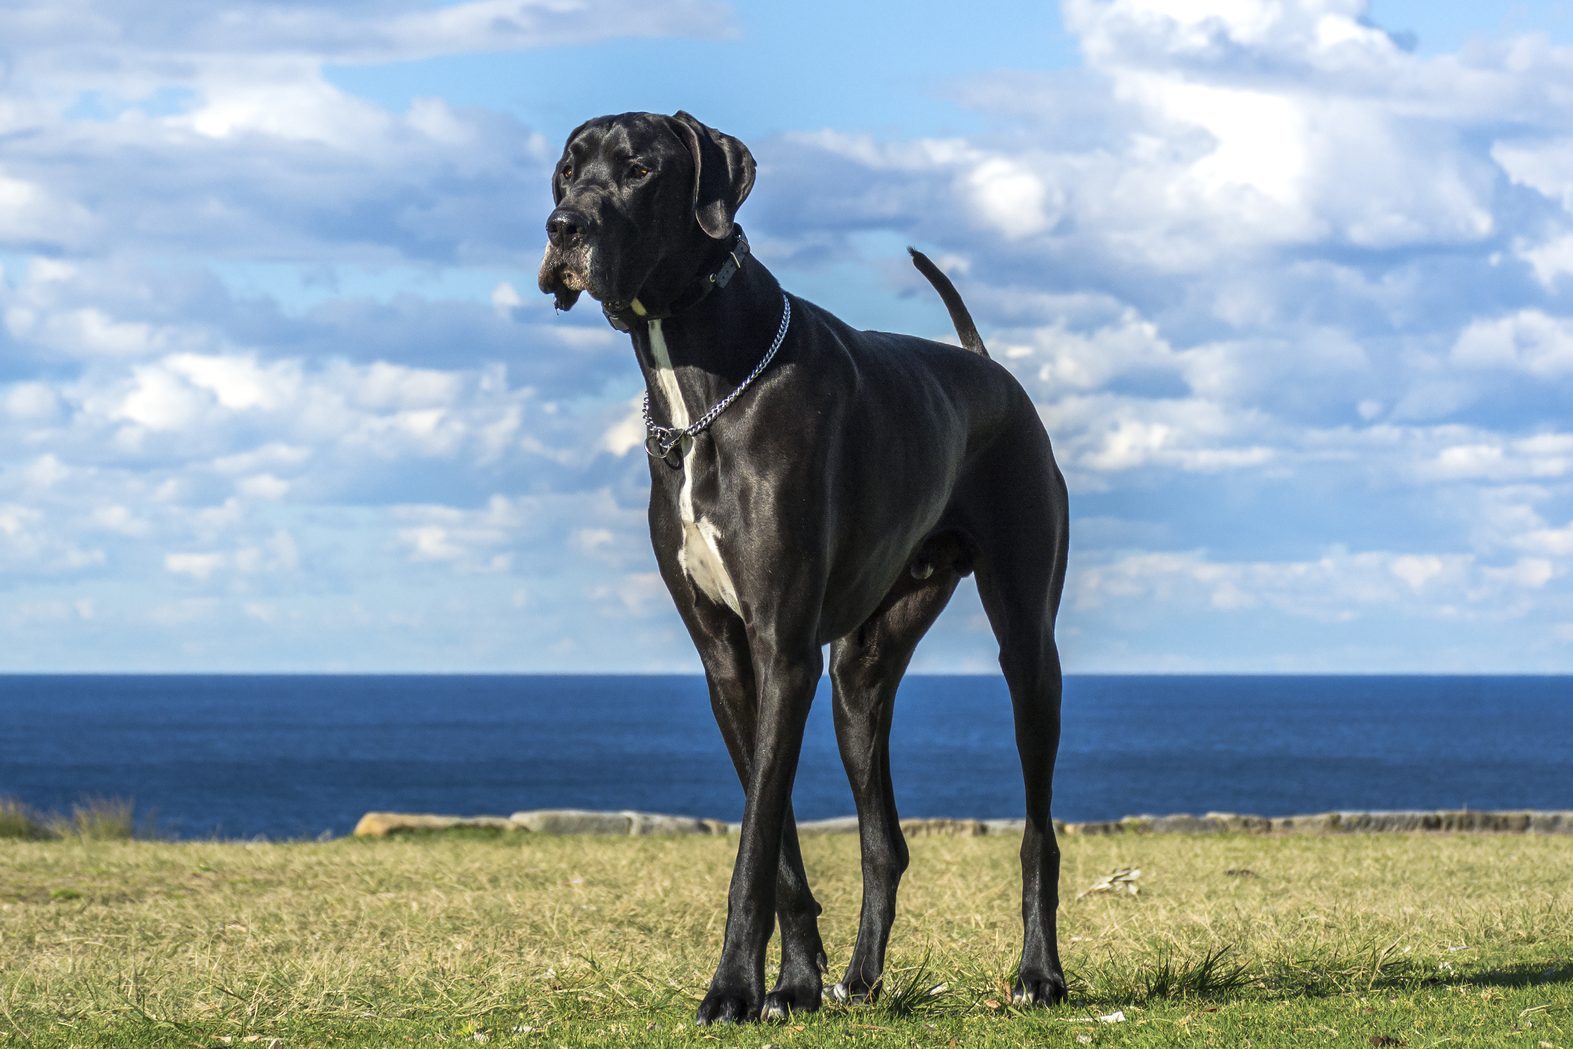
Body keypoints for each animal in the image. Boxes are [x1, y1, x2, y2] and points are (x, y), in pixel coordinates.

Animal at [537, 113, 1069, 1025]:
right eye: (567, 173)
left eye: (638, 170)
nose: (563, 228)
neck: (699, 383)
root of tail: (987, 365)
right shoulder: (730, 657)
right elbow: (774, 835)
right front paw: (791, 983)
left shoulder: (782, 648)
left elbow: (753, 844)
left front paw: (731, 988)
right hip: (860, 673)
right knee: (883, 841)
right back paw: (860, 979)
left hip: (1028, 648)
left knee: (1039, 831)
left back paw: (1038, 974)